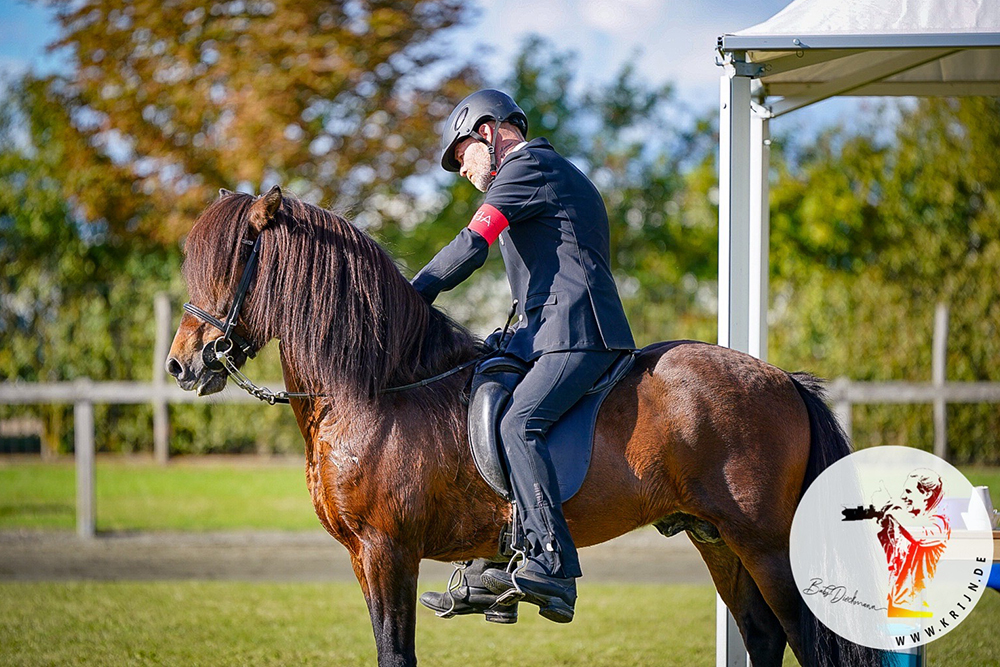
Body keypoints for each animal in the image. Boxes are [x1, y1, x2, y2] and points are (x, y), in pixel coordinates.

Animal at [168, 188, 888, 667]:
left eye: (238, 256)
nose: (183, 363)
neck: (375, 390)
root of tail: (785, 380)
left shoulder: (386, 550)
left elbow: (395, 654)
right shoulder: (364, 557)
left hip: (766, 544)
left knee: (807, 641)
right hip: (716, 537)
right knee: (764, 635)